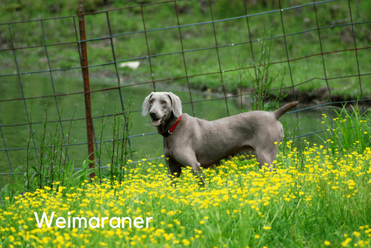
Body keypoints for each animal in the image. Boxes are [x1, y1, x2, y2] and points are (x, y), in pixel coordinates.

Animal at [142, 92, 300, 185]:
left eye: (164, 102)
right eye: (151, 101)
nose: (152, 113)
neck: (172, 129)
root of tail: (273, 114)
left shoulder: (194, 165)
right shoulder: (173, 169)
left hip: (264, 156)